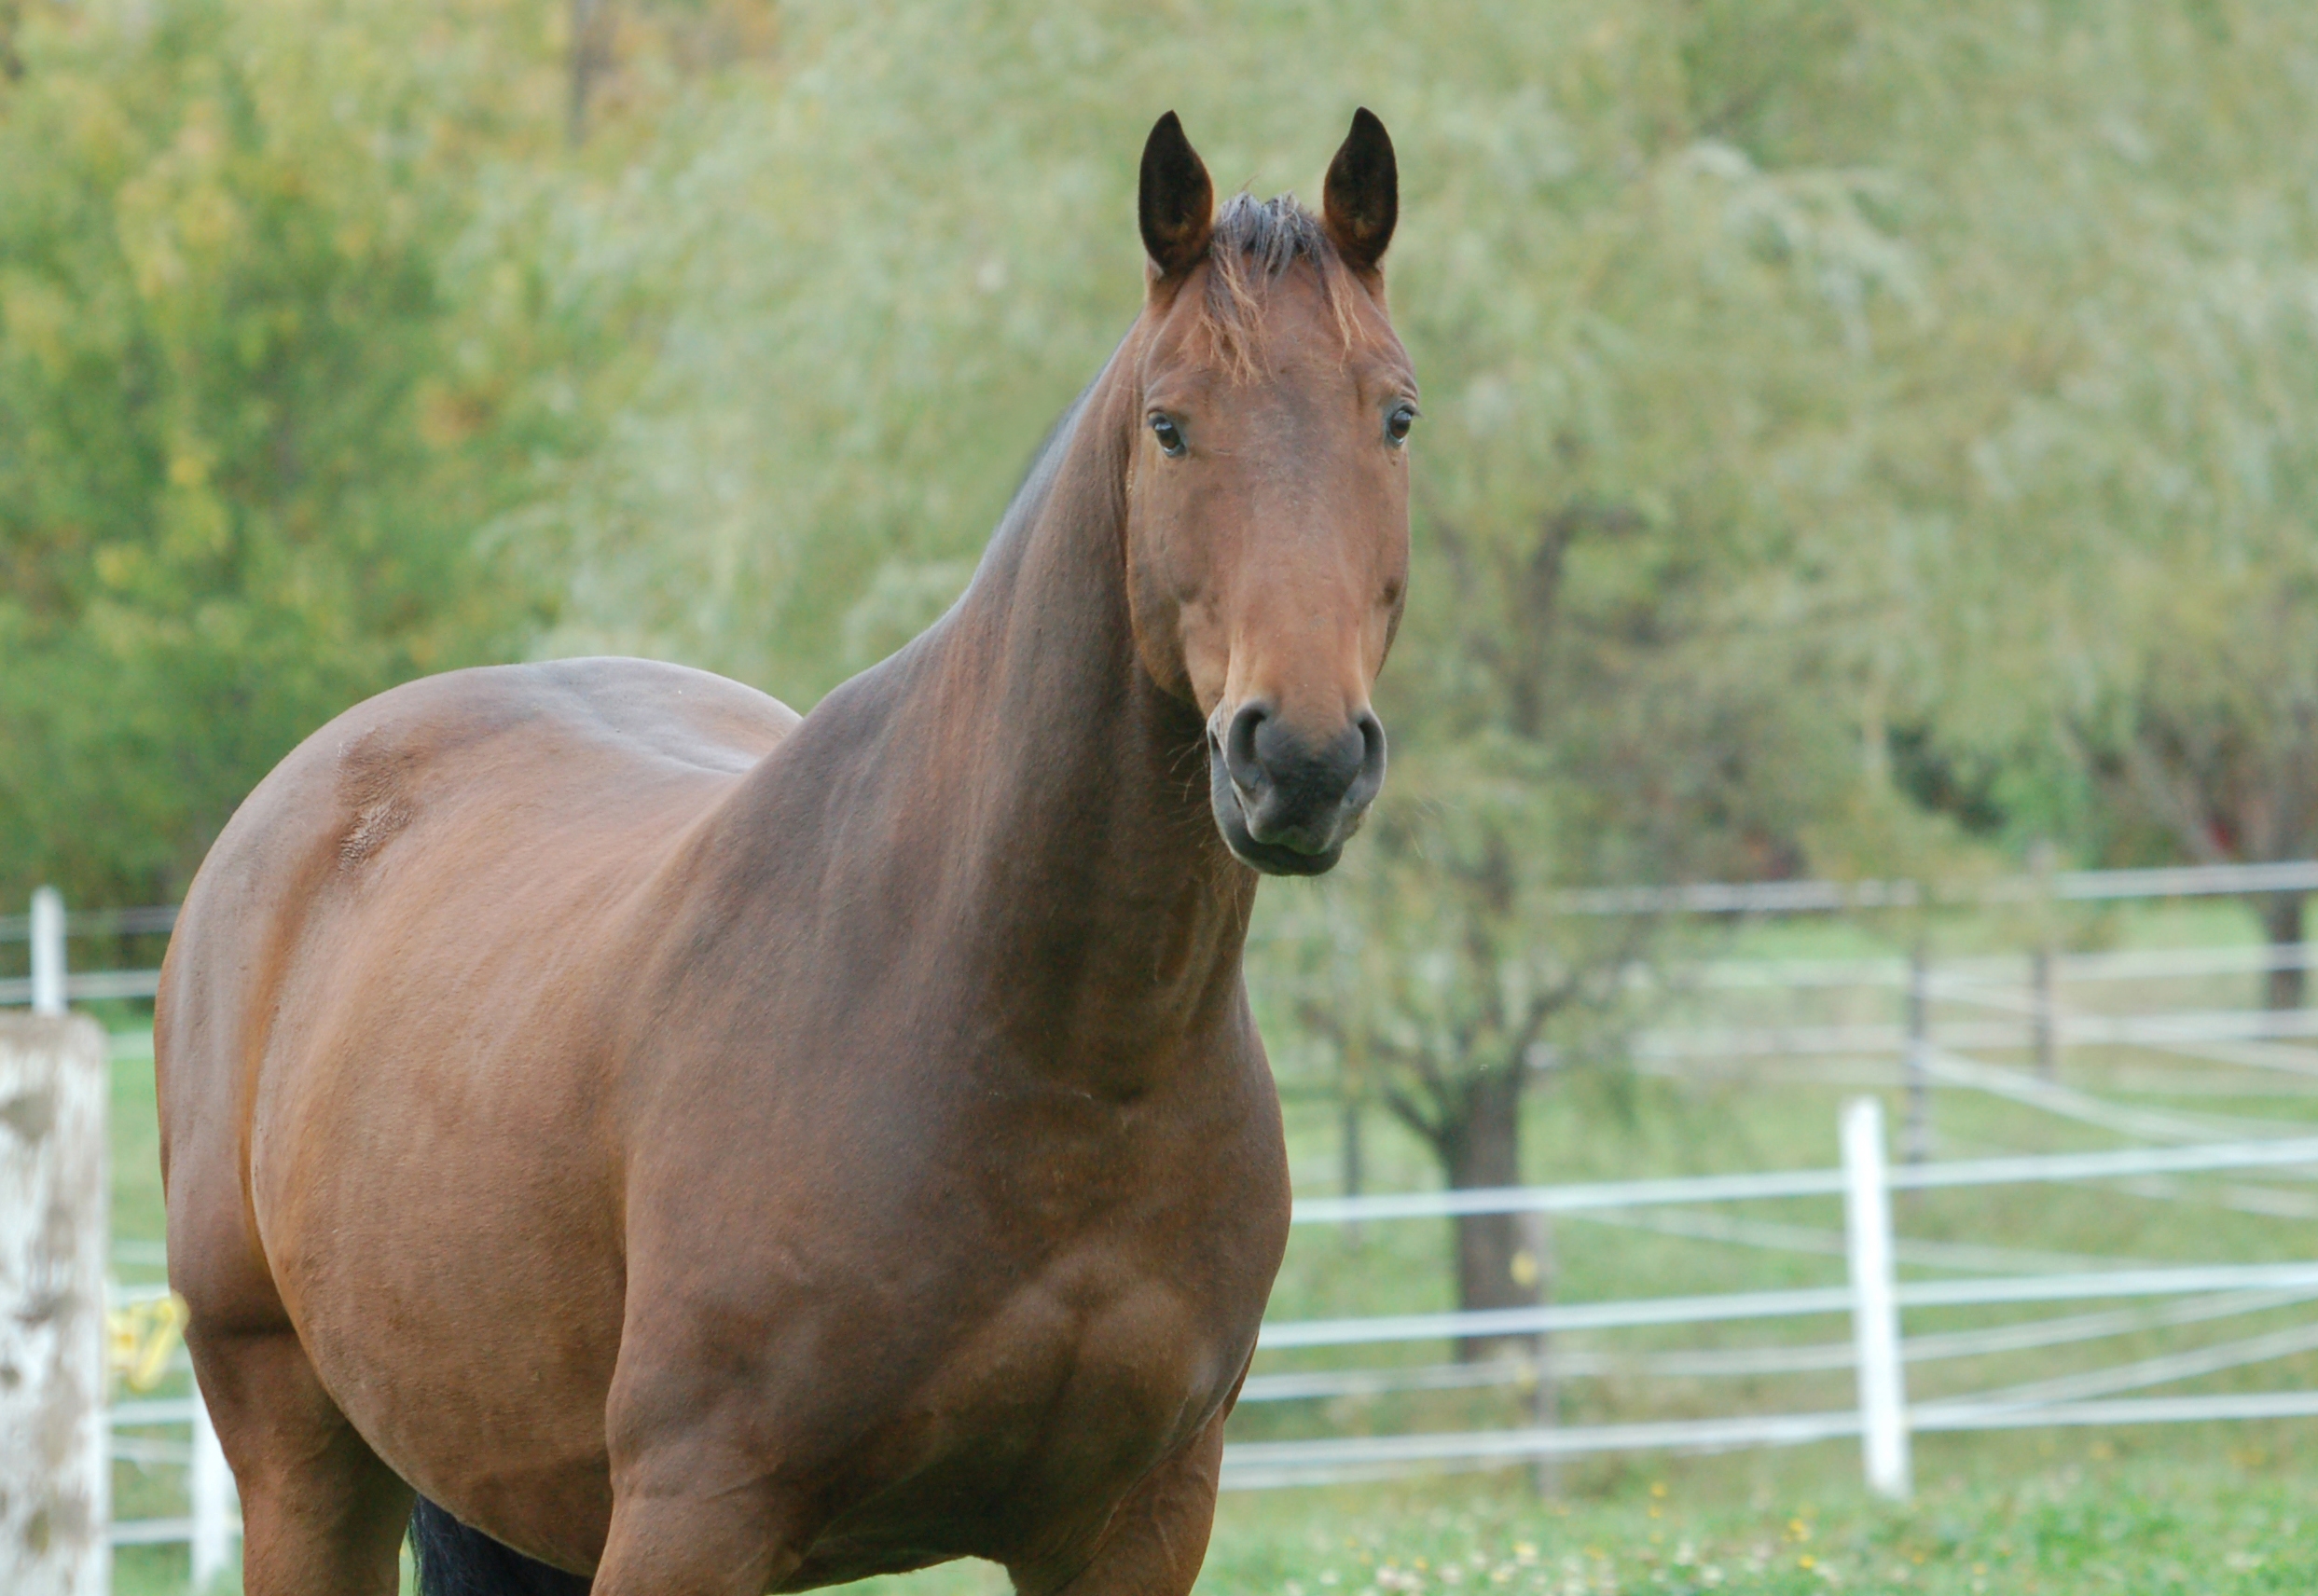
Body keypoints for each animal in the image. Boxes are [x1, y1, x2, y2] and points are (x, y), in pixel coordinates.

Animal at [159, 112, 1409, 1593]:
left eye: (1394, 415)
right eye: (1170, 426)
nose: (1302, 758)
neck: (1050, 1052)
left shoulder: (1138, 1521)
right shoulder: (696, 1509)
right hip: (304, 1449)